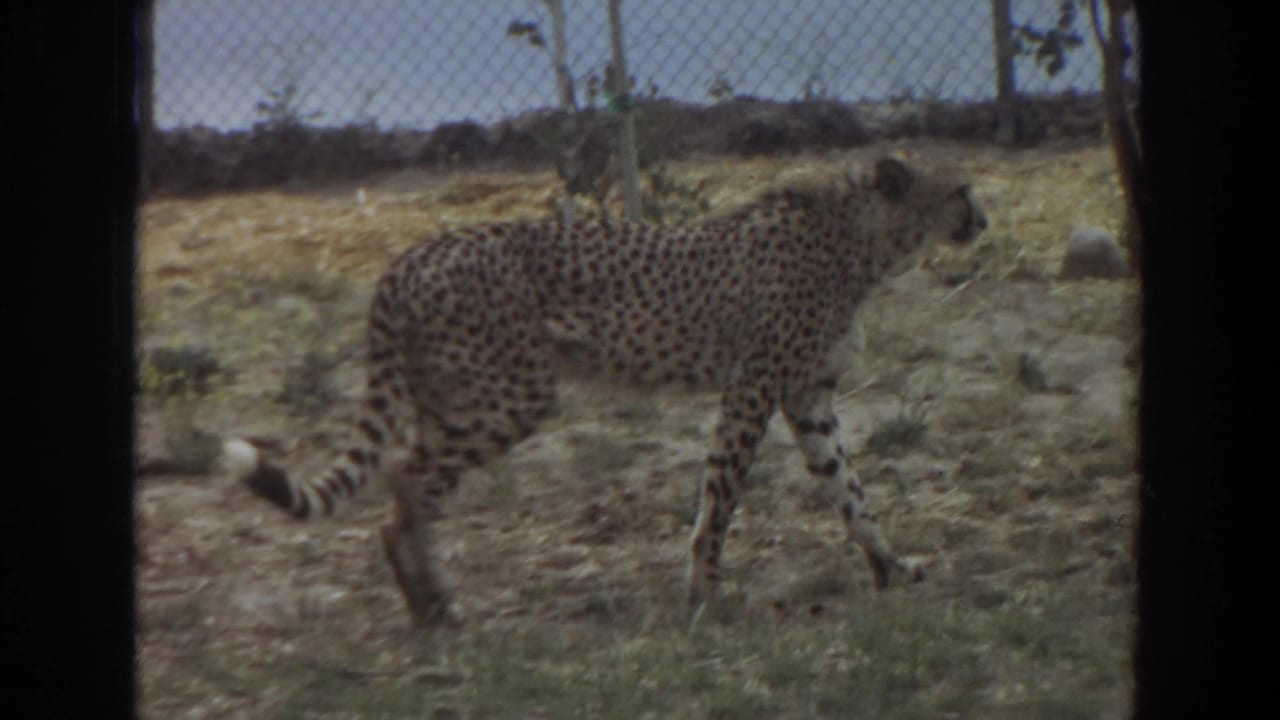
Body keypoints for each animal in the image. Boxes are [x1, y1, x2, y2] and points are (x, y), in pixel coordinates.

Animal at [225, 156, 988, 628]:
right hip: (512, 395)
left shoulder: (807, 397)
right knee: (408, 482)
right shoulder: (752, 389)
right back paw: (435, 606)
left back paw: (428, 604)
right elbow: (721, 498)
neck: (866, 240)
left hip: (453, 398)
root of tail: (407, 257)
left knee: (409, 489)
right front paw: (705, 595)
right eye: (961, 190)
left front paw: (891, 566)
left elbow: (849, 490)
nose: (985, 221)